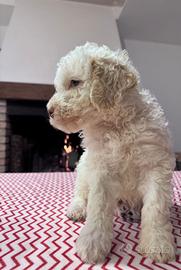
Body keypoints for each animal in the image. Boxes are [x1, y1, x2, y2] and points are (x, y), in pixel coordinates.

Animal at [46, 42, 175, 264]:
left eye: (74, 82)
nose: (49, 110)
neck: (116, 125)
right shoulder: (101, 169)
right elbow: (98, 207)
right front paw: (92, 242)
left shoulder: (155, 165)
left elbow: (155, 207)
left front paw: (158, 243)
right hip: (83, 168)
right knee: (81, 193)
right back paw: (77, 209)